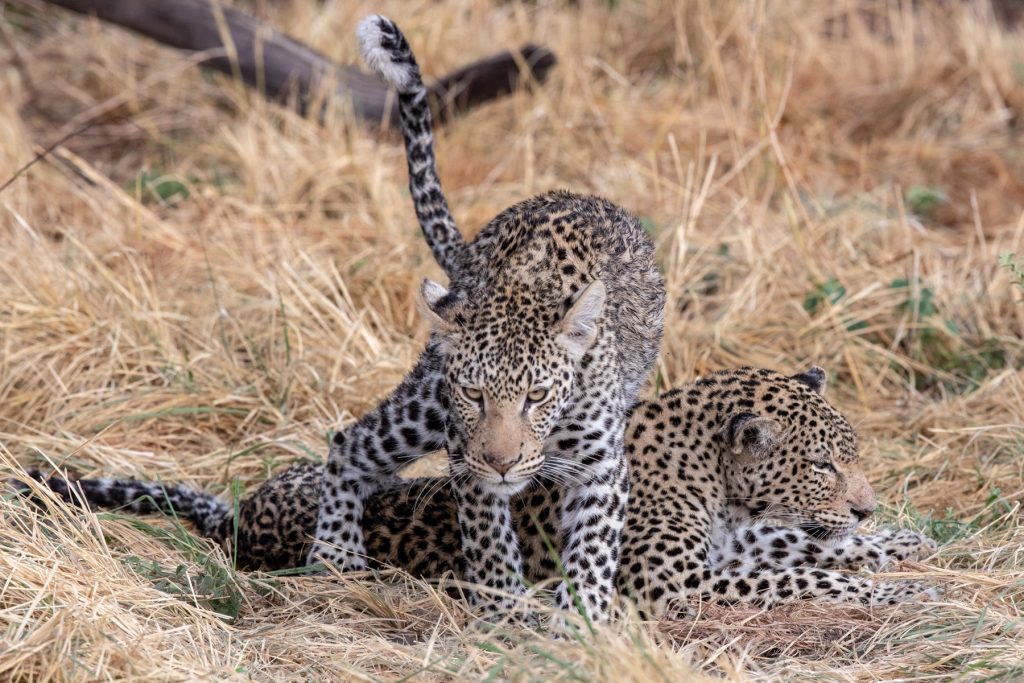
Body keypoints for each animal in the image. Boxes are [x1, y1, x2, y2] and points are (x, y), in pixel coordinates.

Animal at [22, 366, 937, 618]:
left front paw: (905, 542)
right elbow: (801, 572)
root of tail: (239, 512)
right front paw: (904, 590)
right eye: (822, 466)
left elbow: (796, 546)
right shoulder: (670, 579)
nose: (864, 502)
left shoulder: (728, 543)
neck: (716, 480)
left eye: (852, 460)